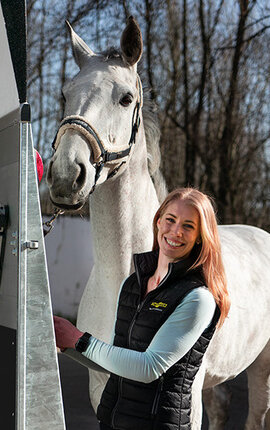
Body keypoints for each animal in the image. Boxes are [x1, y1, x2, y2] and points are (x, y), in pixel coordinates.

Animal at [46, 15, 270, 428]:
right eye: (65, 95)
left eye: (126, 98)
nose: (67, 175)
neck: (125, 272)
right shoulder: (100, 388)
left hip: (261, 366)